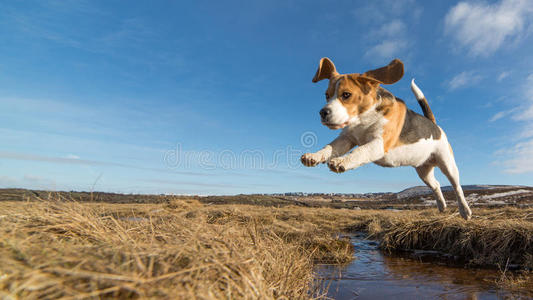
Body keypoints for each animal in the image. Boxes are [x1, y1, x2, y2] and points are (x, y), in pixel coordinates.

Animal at [302, 57, 472, 219]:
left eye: (346, 95)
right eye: (326, 95)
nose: (323, 113)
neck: (363, 118)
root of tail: (434, 125)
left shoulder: (379, 143)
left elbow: (360, 151)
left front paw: (342, 161)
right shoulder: (347, 139)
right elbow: (329, 148)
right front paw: (314, 156)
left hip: (447, 164)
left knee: (457, 188)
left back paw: (464, 210)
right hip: (424, 171)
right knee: (436, 185)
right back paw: (442, 206)